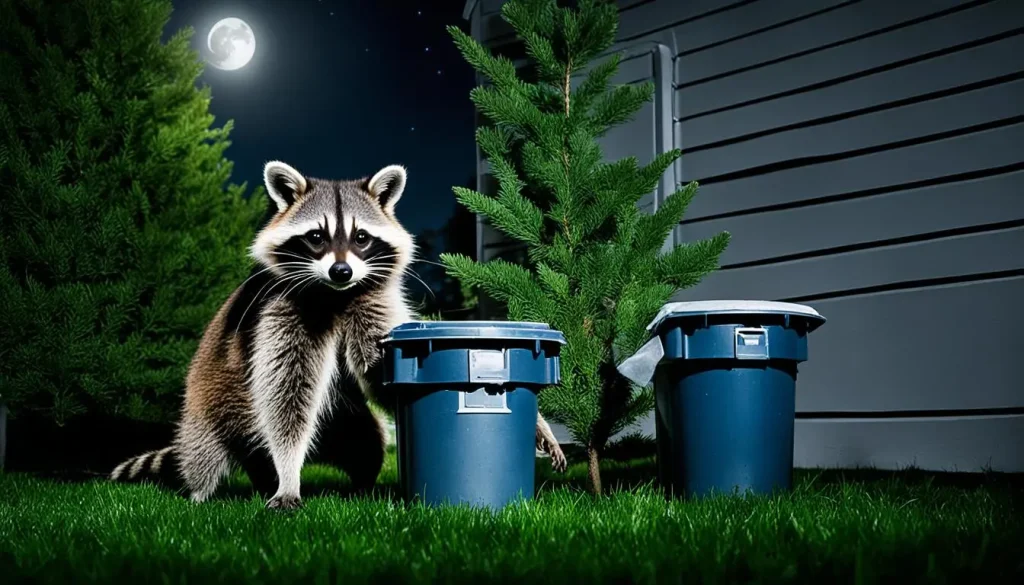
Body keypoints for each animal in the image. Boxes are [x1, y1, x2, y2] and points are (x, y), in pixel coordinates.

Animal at [110, 161, 567, 510]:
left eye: (361, 238)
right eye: (316, 237)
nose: (342, 270)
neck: (335, 295)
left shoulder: (370, 307)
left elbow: (381, 375)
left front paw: (539, 425)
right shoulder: (281, 314)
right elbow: (286, 398)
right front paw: (289, 472)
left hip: (344, 420)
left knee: (367, 441)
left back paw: (357, 483)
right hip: (208, 408)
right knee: (204, 457)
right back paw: (203, 494)